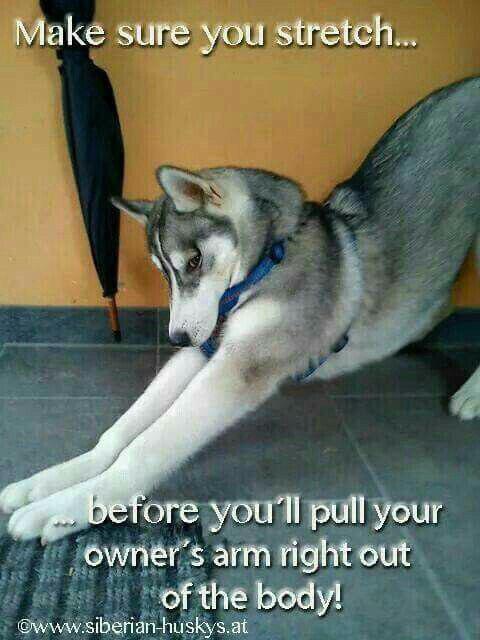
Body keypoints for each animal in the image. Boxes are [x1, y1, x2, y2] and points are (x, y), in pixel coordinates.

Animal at [0, 77, 480, 544]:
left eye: (194, 261)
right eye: (163, 272)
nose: (176, 338)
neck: (266, 264)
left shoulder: (238, 365)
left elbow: (147, 447)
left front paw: (70, 505)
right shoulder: (206, 348)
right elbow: (119, 433)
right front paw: (49, 481)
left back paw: (470, 394)